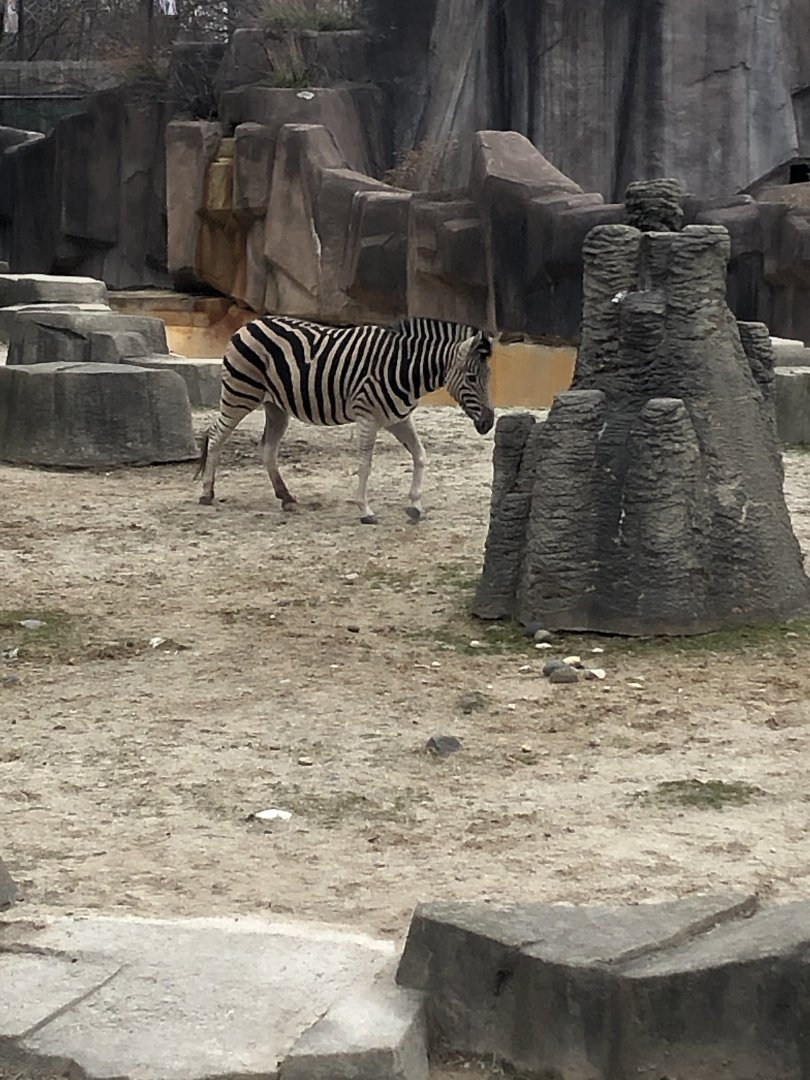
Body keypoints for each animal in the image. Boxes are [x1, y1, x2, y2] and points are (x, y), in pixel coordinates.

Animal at [195, 315, 495, 524]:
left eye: (488, 377)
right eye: (471, 378)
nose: (489, 423)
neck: (405, 368)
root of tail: (250, 323)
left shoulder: (397, 418)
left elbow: (420, 457)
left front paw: (415, 505)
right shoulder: (367, 416)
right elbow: (365, 464)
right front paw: (365, 510)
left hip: (276, 406)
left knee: (268, 449)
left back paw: (286, 497)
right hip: (240, 394)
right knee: (216, 436)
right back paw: (207, 493)